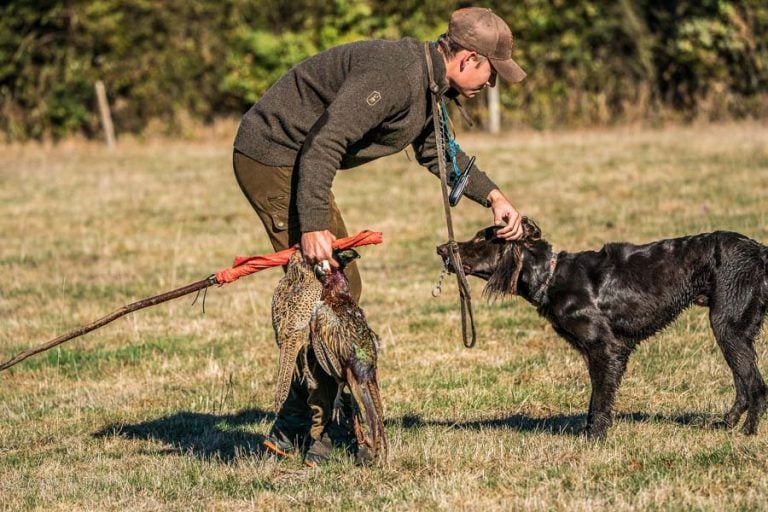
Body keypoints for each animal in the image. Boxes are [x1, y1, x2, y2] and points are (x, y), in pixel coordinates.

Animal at [438, 218, 768, 438]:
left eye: (480, 239)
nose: (441, 248)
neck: (551, 277)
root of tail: (759, 251)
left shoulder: (605, 349)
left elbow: (599, 399)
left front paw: (595, 438)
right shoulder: (597, 353)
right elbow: (595, 398)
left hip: (726, 326)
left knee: (755, 385)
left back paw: (747, 432)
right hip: (737, 332)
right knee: (743, 384)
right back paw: (725, 425)